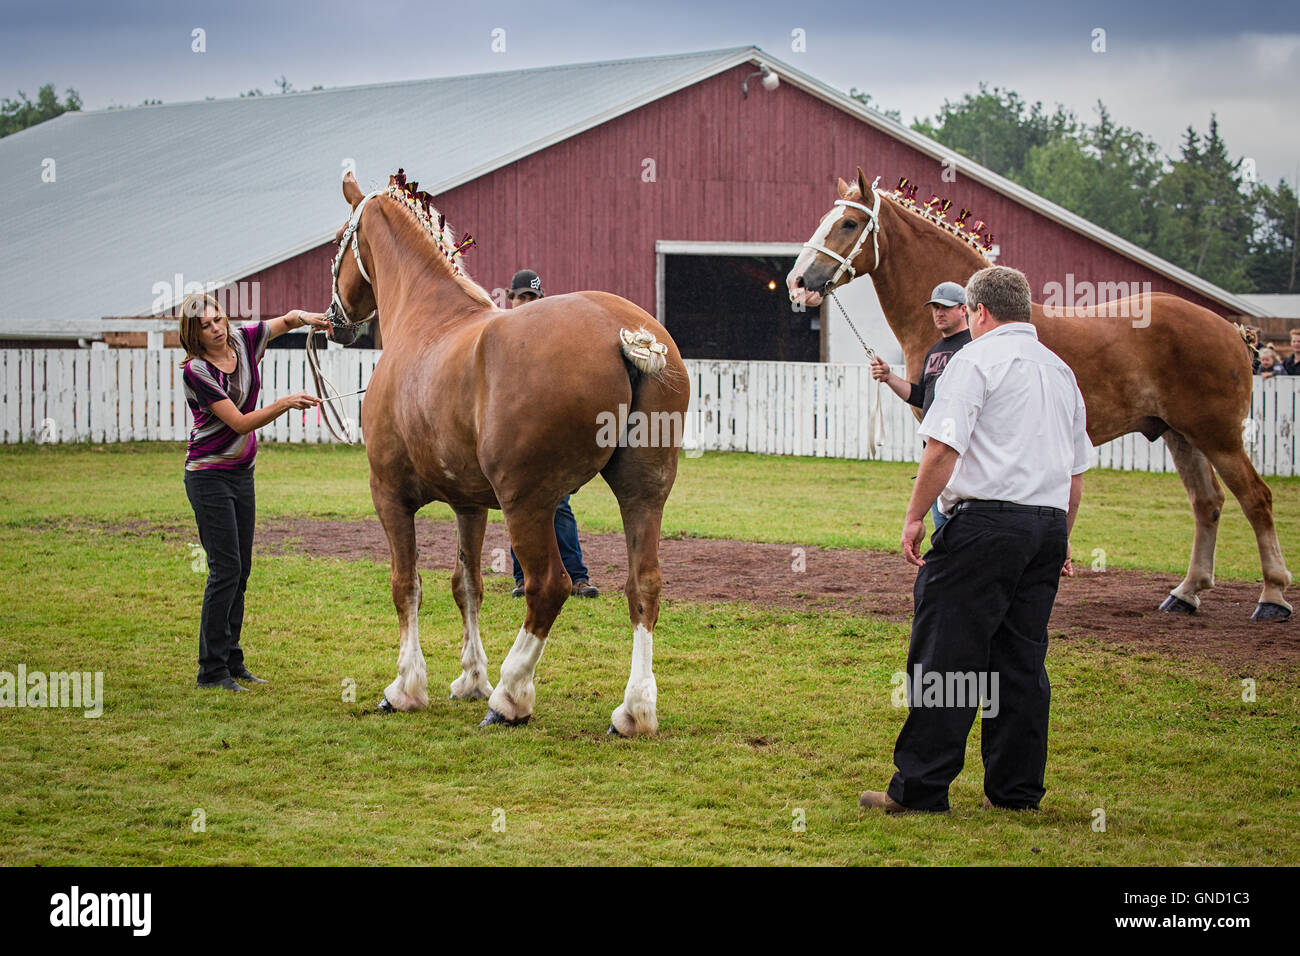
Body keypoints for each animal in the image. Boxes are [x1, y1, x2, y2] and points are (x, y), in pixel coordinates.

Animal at [325, 170, 691, 733]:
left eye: (337, 244)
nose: (335, 319)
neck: (427, 318)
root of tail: (625, 333)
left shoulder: (389, 494)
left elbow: (406, 584)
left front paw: (407, 688)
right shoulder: (469, 503)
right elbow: (466, 584)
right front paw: (469, 679)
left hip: (528, 503)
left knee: (549, 587)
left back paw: (510, 696)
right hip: (642, 493)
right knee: (643, 586)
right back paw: (634, 710)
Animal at [785, 169, 1284, 624]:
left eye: (849, 223)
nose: (798, 282)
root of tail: (1233, 329)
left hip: (1219, 436)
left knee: (1256, 499)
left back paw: (1272, 597)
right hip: (1181, 436)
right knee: (1208, 504)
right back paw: (1187, 592)